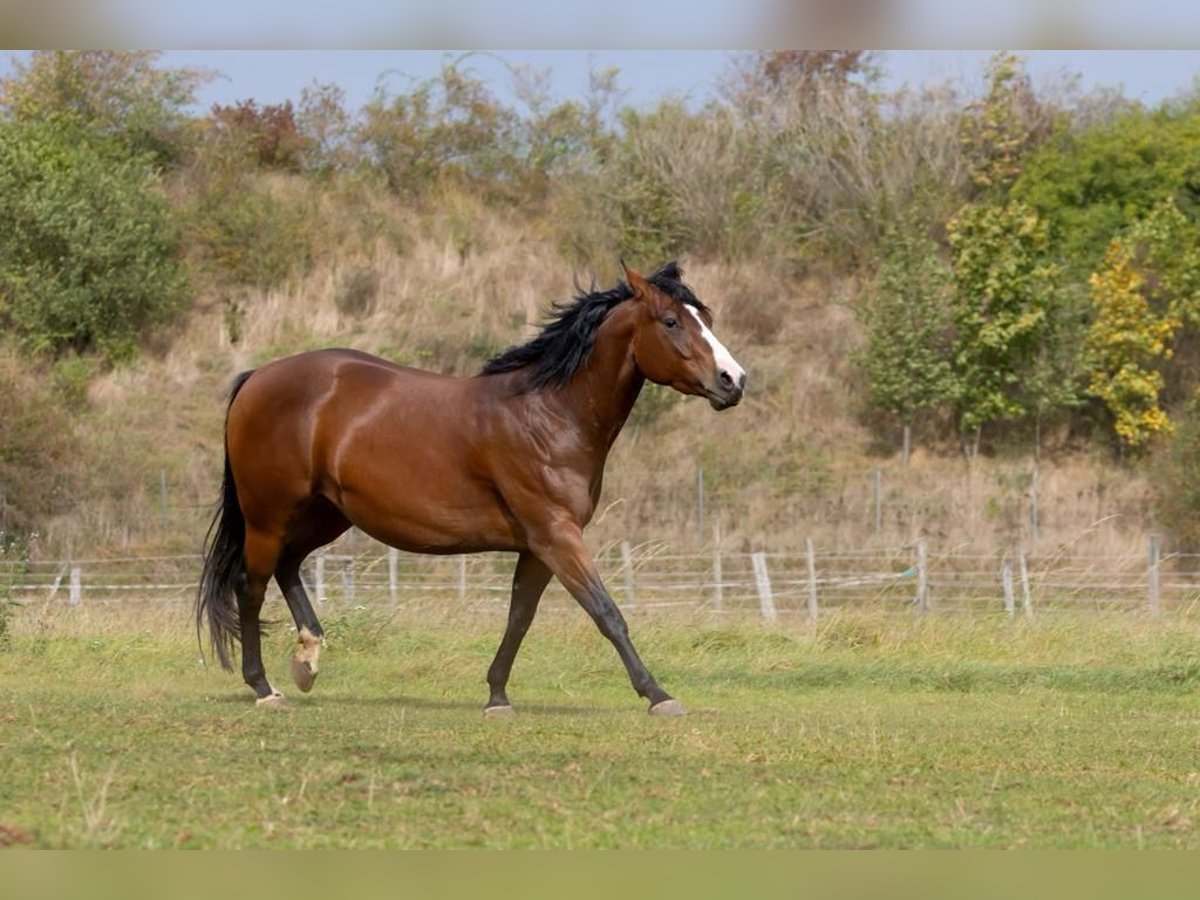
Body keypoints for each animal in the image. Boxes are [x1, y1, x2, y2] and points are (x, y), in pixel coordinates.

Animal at [193, 260, 744, 720]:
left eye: (705, 318)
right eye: (671, 322)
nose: (733, 380)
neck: (549, 415)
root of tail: (256, 378)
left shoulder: (538, 547)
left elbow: (519, 617)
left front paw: (497, 696)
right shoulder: (557, 536)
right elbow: (607, 613)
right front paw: (658, 695)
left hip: (326, 514)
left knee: (287, 567)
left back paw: (307, 661)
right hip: (269, 515)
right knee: (250, 585)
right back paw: (265, 688)